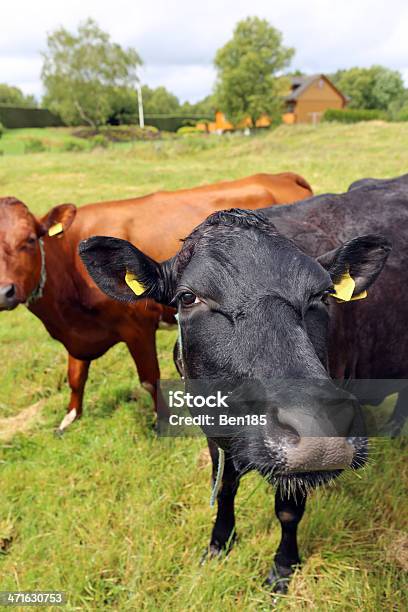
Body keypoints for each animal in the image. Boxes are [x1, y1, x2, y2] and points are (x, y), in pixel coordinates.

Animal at [0, 172, 312, 430]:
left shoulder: (137, 326)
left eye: (30, 240)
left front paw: (161, 421)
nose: (5, 291)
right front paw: (70, 418)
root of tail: (277, 176)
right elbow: (75, 376)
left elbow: (150, 379)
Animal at [79, 176, 408, 592]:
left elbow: (288, 509)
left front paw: (283, 567)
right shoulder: (210, 428)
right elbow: (223, 489)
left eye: (321, 295)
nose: (320, 430)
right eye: (188, 297)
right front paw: (219, 544)